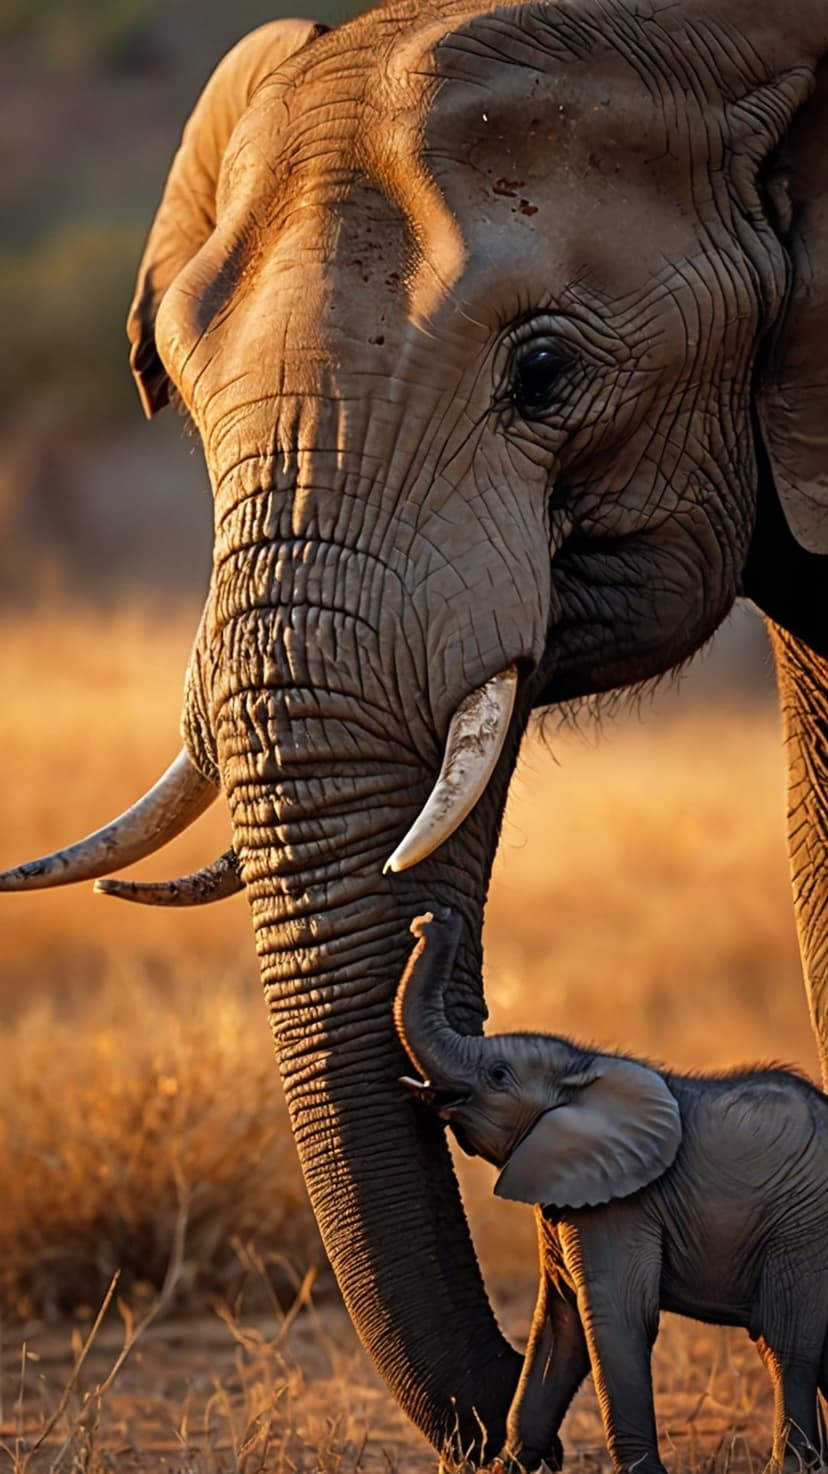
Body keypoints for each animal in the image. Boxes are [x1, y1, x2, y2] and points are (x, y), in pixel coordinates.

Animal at [396, 907, 828, 1473]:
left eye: (498, 1074)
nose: (433, 920)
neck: (583, 1065)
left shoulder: (623, 1207)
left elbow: (616, 1316)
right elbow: (558, 1326)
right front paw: (506, 1467)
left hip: (802, 1228)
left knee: (785, 1343)